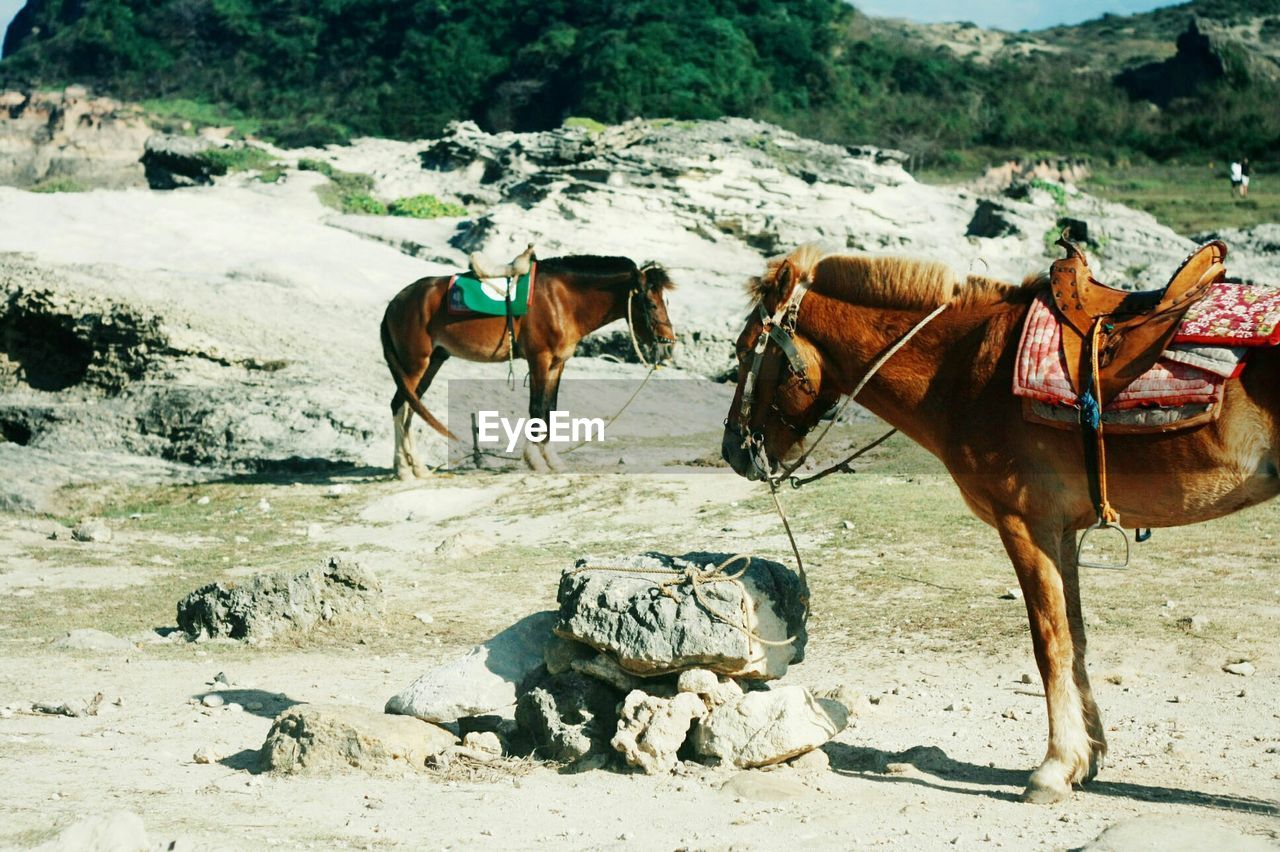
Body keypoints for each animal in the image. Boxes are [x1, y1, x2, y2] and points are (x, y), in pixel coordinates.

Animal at [381, 252, 675, 478]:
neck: (562, 299)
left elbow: (549, 409)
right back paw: (403, 470)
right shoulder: (540, 359)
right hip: (414, 365)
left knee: (410, 408)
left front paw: (552, 460)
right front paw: (535, 461)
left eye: (666, 301)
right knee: (400, 405)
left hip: (431, 363)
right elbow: (536, 408)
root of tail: (396, 302)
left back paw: (417, 468)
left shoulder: (557, 364)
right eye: (650, 303)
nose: (669, 345)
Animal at [721, 241, 1280, 798]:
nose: (732, 449)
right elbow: (1075, 638)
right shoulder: (1062, 531)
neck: (965, 366)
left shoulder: (1025, 525)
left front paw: (1055, 766)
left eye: (745, 349)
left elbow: (1049, 643)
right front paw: (1088, 757)